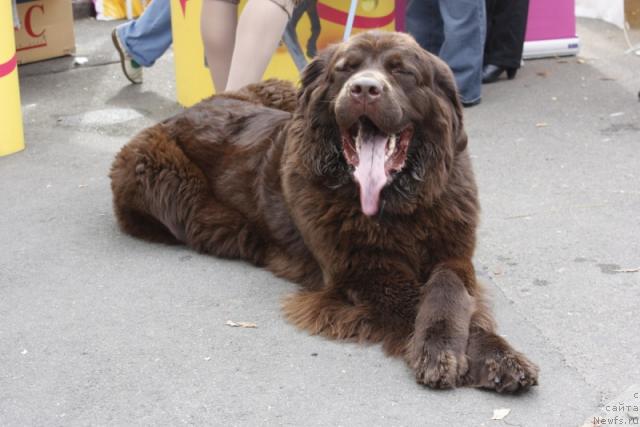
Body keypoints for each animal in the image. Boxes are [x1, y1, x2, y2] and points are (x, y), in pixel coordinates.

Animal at [112, 30, 536, 394]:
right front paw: (446, 351)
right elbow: (416, 300)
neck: (399, 206)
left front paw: (497, 355)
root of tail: (184, 111)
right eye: (345, 69)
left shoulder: (453, 253)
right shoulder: (364, 274)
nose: (364, 88)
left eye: (402, 71)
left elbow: (448, 290)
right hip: (157, 177)